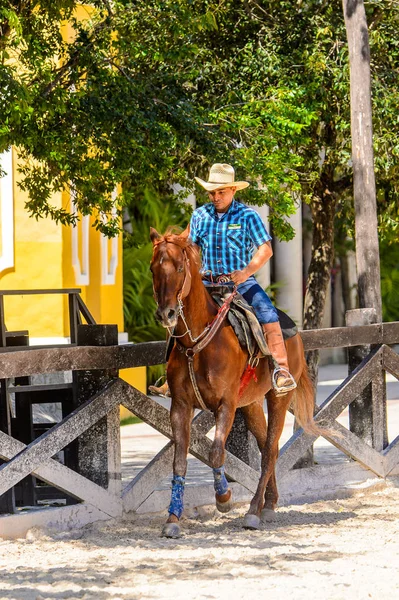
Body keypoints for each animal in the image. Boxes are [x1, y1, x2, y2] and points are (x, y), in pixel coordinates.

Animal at [152, 227, 320, 536]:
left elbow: (216, 452)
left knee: (269, 450)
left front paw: (224, 498)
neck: (197, 345)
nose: (166, 313)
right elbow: (179, 462)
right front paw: (172, 518)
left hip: (278, 398)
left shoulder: (226, 405)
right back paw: (269, 503)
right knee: (268, 447)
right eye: (153, 268)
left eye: (180, 267)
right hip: (251, 404)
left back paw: (253, 511)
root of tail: (295, 331)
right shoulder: (180, 406)